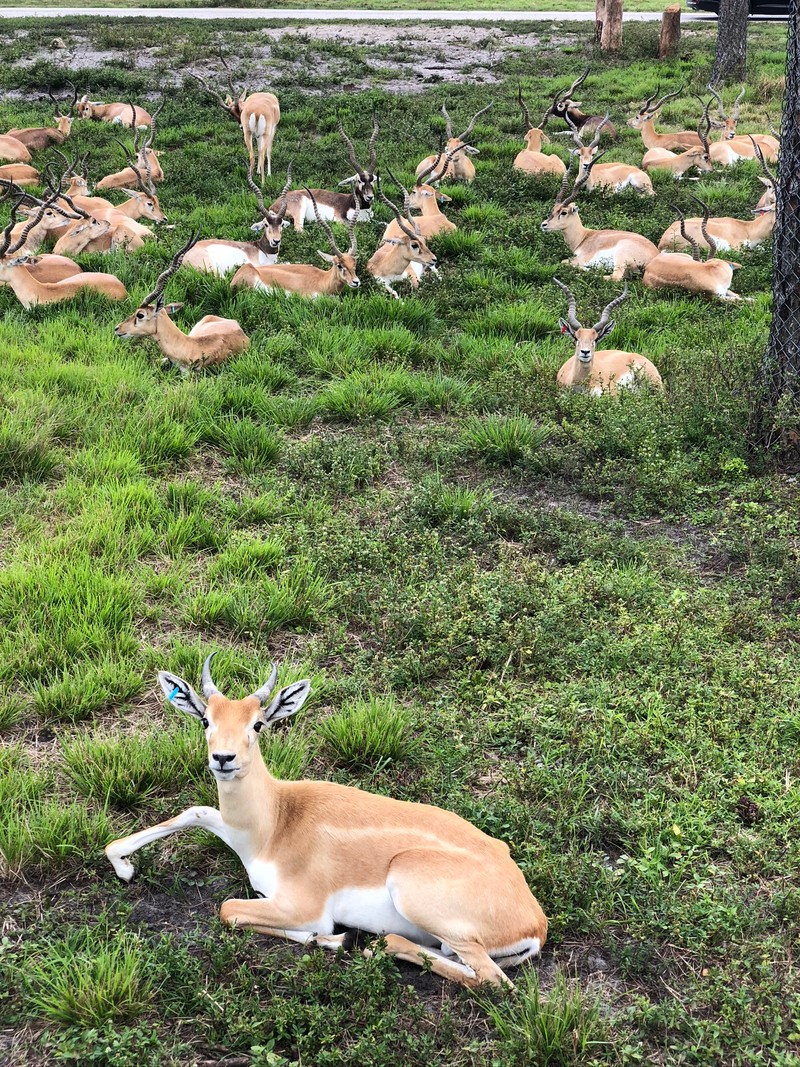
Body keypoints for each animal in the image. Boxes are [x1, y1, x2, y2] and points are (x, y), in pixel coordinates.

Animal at [106, 657, 550, 990]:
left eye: (258, 723)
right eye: (206, 720)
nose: (224, 758)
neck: (275, 824)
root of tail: (536, 921)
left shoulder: (301, 904)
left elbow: (228, 908)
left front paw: (332, 937)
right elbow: (195, 811)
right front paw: (123, 865)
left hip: (414, 890)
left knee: (492, 980)